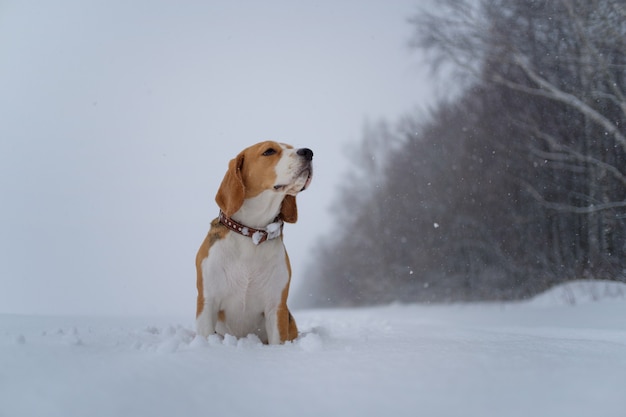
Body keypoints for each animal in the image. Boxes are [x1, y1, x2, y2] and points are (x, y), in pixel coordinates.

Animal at [195, 141, 312, 342]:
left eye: (291, 146)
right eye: (269, 151)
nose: (309, 152)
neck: (253, 234)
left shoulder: (276, 307)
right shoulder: (207, 302)